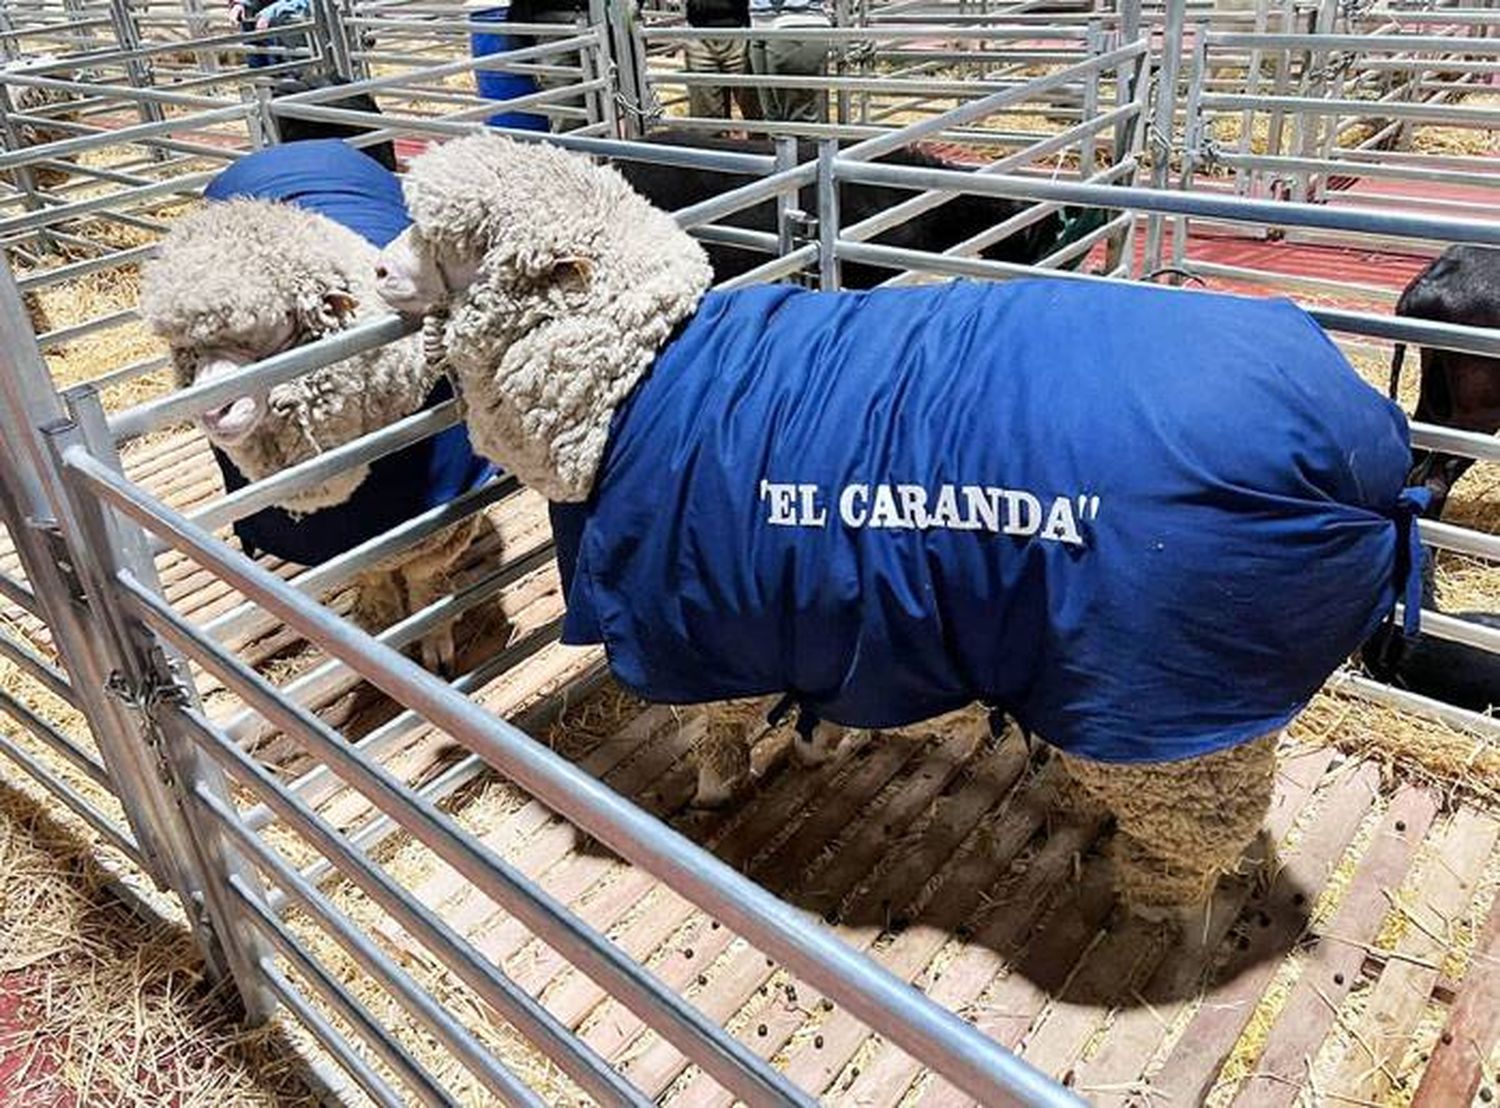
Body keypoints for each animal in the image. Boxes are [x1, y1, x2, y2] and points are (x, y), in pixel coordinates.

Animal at [139, 138, 498, 674]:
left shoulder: (445, 519)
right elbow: (370, 574)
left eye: (276, 328)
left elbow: (423, 581)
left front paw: (433, 639)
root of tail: (293, 145)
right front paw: (379, 620)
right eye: (185, 348)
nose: (214, 411)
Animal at [369, 134, 1422, 923]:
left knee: (1197, 830)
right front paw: (815, 745)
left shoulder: (697, 616)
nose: (377, 269)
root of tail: (1365, 456)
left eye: (456, 241)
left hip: (1181, 701)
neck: (634, 377)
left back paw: (1157, 903)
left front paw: (716, 787)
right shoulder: (799, 608)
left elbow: (720, 724)